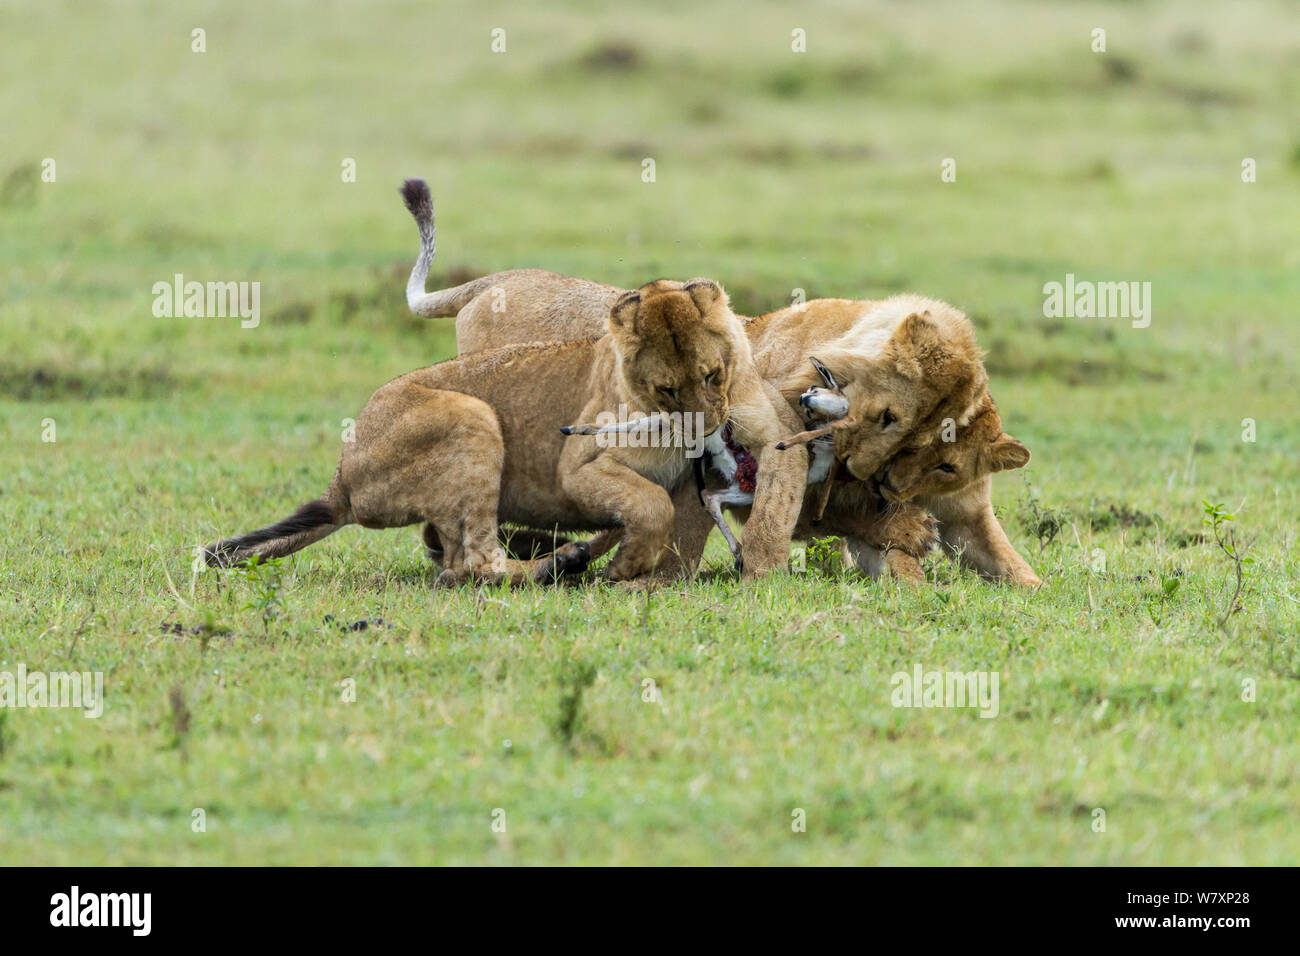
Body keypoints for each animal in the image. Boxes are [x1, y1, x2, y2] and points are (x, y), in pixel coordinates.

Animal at [204, 275, 808, 584]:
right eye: (666, 390)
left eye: (712, 374)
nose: (707, 433)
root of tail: (341, 481)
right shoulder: (576, 469)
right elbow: (650, 507)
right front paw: (627, 567)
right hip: (473, 417)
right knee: (468, 565)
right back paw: (558, 564)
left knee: (455, 556)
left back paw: (565, 556)